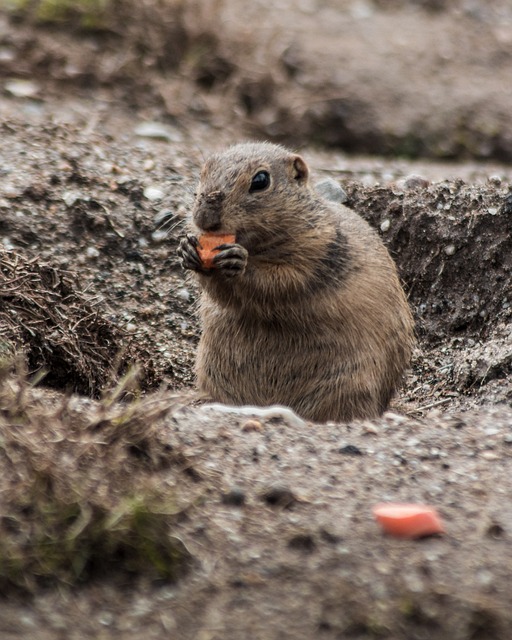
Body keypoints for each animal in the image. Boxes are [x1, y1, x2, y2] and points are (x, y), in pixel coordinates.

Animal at [178, 146, 414, 424]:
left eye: (261, 180)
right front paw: (187, 250)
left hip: (350, 383)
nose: (205, 217)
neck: (256, 245)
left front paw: (239, 262)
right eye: (203, 171)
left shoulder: (315, 249)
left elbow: (283, 280)